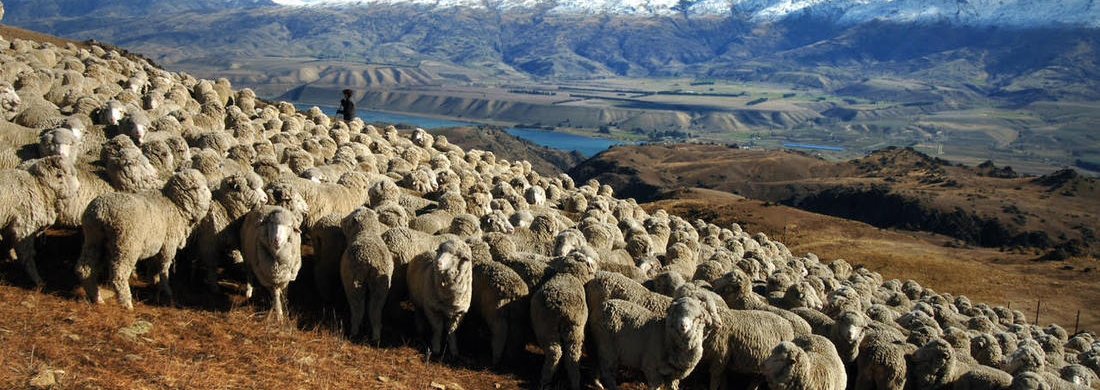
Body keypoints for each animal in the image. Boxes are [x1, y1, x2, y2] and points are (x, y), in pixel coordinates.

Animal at [75, 169, 212, 309]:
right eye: (201, 187)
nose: (211, 196)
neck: (175, 204)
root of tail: (102, 211)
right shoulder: (168, 244)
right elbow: (163, 268)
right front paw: (166, 290)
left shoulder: (156, 243)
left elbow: (153, 266)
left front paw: (153, 281)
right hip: (126, 243)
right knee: (118, 275)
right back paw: (126, 304)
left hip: (94, 238)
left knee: (84, 269)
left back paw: (97, 298)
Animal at [528, 249, 598, 388]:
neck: (569, 274)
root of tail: (561, 309)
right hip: (574, 329)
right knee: (571, 356)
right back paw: (573, 381)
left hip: (548, 327)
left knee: (556, 353)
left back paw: (547, 380)